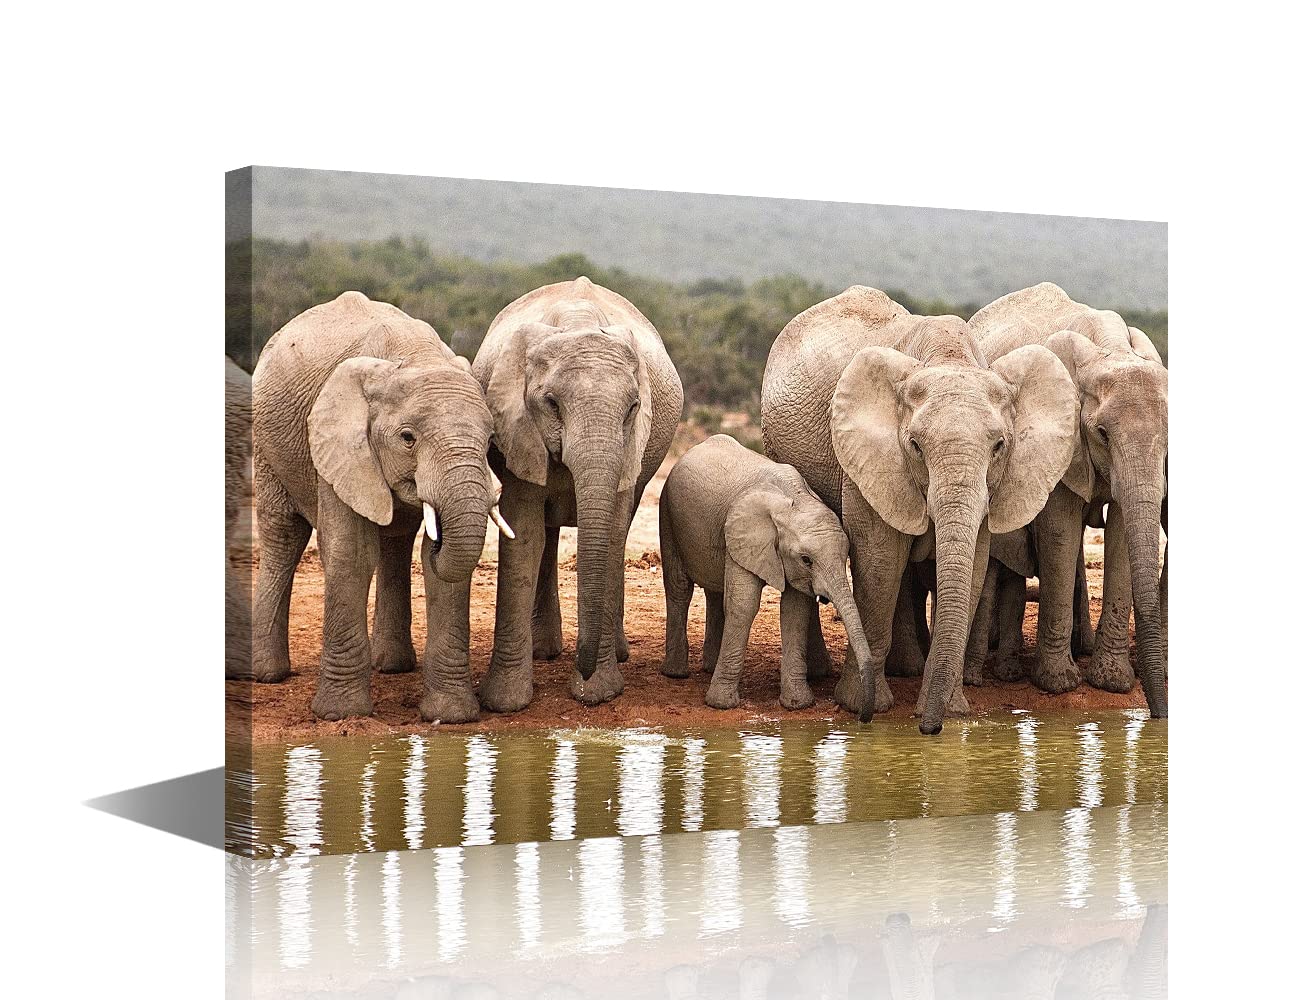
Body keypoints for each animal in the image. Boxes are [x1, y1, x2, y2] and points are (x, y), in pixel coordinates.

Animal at [251, 291, 507, 722]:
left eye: (490, 439)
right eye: (407, 438)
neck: (414, 358)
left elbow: (442, 569)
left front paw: (452, 716)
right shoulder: (338, 442)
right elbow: (352, 553)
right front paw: (341, 715)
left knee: (396, 542)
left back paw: (392, 666)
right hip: (265, 441)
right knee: (283, 534)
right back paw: (266, 676)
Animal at [471, 276, 684, 710]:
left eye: (633, 407)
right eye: (551, 403)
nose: (582, 676)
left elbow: (613, 532)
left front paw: (598, 692)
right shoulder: (519, 429)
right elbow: (523, 534)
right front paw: (505, 703)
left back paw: (614, 653)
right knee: (547, 534)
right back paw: (544, 652)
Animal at [658, 434, 873, 714]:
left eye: (847, 554)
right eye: (806, 560)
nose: (864, 717)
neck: (793, 500)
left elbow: (795, 611)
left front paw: (797, 705)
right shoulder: (742, 535)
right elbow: (744, 604)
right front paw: (721, 705)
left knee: (715, 591)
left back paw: (709, 667)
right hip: (667, 513)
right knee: (679, 587)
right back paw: (675, 673)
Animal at [761, 286, 1078, 734]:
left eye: (999, 446)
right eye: (914, 445)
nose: (928, 728)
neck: (947, 358)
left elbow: (973, 566)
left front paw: (953, 710)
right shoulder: (869, 457)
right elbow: (880, 560)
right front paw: (864, 708)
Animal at [970, 283, 1168, 716]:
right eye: (1102, 433)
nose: (1157, 716)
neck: (1110, 348)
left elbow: (1122, 532)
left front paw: (1111, 683)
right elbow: (1059, 528)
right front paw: (1059, 685)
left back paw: (1084, 648)